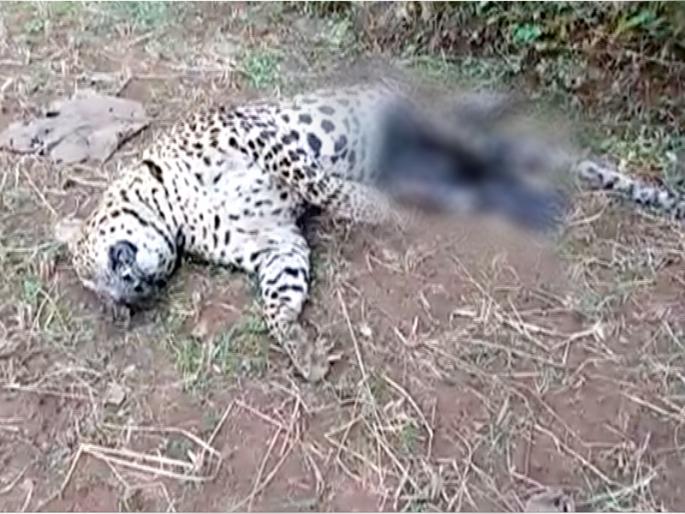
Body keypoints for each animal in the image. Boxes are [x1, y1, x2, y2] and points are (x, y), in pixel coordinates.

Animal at [55, 80, 685, 382]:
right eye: (108, 298)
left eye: (111, 264)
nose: (135, 296)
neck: (176, 208)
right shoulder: (274, 241)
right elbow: (278, 303)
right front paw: (303, 350)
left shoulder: (262, 139)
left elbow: (323, 183)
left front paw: (371, 205)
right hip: (452, 167)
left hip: (443, 120)